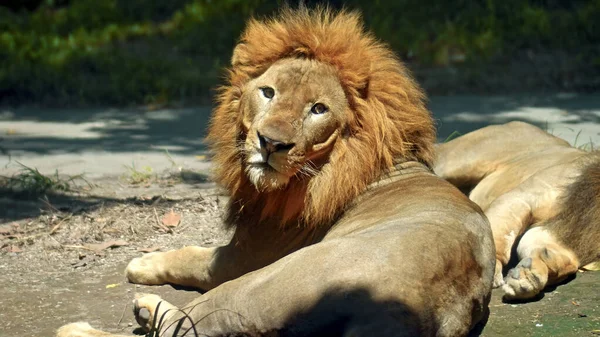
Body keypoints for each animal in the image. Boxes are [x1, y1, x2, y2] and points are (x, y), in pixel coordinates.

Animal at [57, 7, 492, 336]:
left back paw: (91, 324)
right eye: (268, 92)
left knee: (182, 326)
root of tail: (400, 309)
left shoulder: (240, 258)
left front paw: (142, 262)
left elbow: (191, 255)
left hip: (257, 286)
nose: (271, 143)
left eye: (318, 109)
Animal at [434, 121, 600, 300]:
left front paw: (528, 277)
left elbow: (561, 260)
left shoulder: (563, 236)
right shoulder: (522, 197)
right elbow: (498, 238)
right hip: (456, 162)